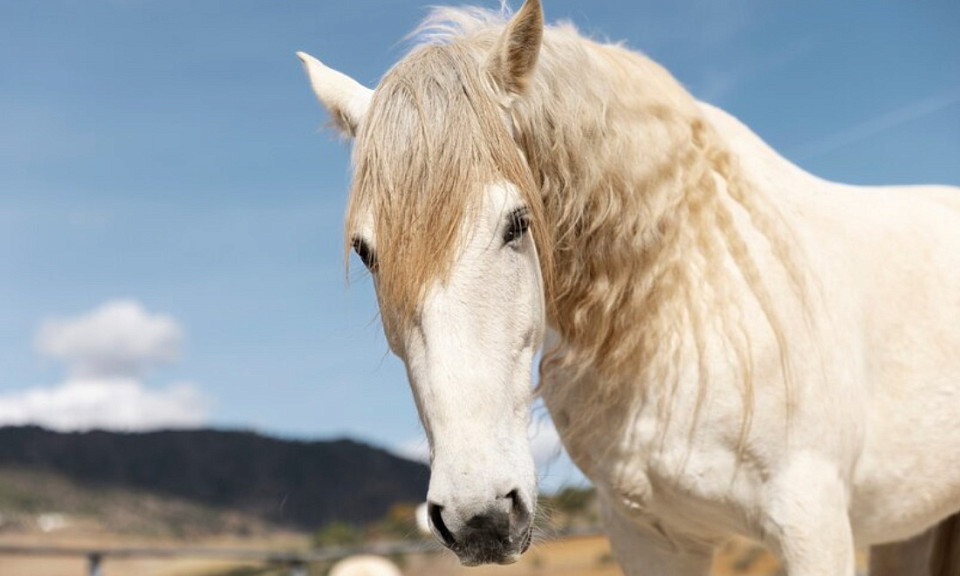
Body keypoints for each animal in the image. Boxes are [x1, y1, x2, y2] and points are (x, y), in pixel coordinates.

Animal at [298, 2, 960, 572]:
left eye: (518, 222)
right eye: (366, 252)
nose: (478, 517)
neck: (678, 305)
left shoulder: (812, 524)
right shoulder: (647, 537)